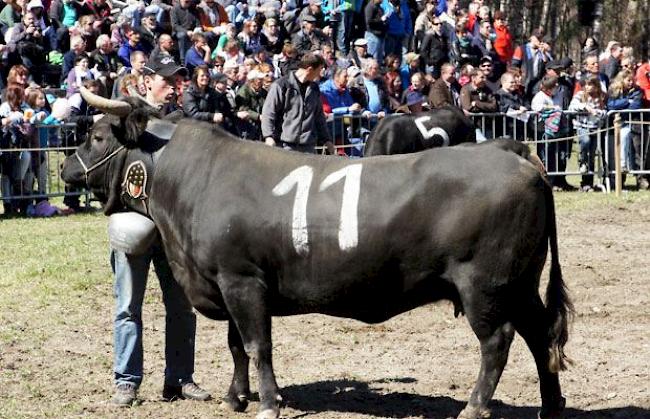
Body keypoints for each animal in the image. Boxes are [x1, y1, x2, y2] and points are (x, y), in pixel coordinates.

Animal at [59, 90, 568, 419]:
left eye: (99, 135)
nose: (65, 167)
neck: (192, 182)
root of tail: (512, 151)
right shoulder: (227, 283)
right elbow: (236, 346)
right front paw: (235, 398)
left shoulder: (242, 280)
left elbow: (257, 345)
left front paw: (267, 404)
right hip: (520, 283)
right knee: (541, 334)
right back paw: (551, 405)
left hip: (486, 285)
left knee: (498, 342)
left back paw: (475, 408)